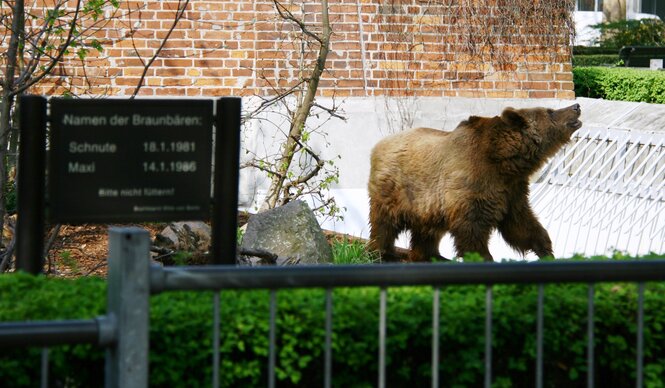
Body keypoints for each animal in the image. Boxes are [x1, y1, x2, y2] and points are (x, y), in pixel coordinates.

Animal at [368, 103, 580, 262]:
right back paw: (383, 253)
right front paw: (484, 257)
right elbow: (473, 228)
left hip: (427, 205)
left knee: (427, 231)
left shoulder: (512, 190)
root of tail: (379, 144)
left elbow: (521, 224)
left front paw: (546, 251)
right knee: (385, 223)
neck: (506, 162)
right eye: (550, 111)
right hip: (399, 188)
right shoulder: (475, 182)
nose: (576, 106)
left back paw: (432, 256)